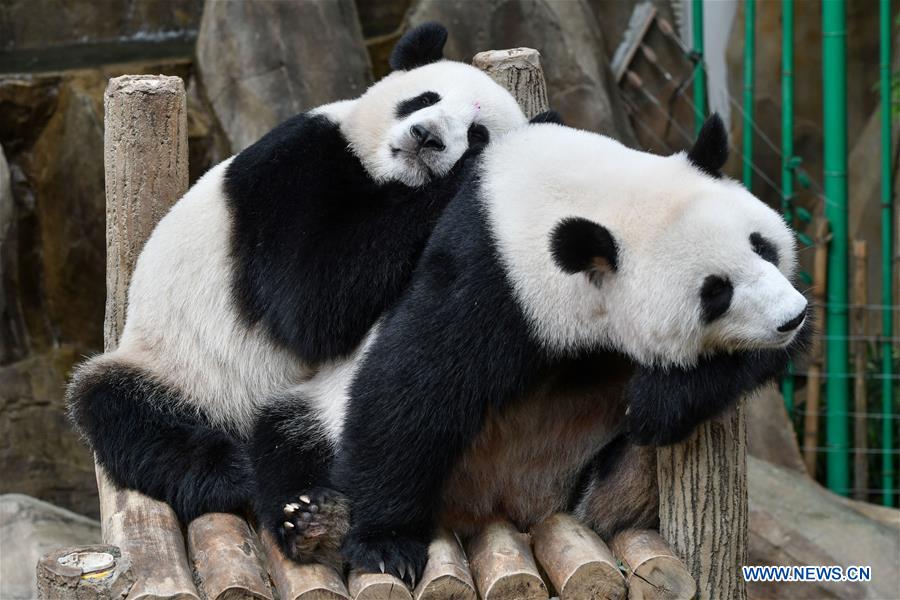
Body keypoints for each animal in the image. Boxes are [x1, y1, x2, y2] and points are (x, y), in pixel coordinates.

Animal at [66, 22, 529, 531]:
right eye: (424, 98)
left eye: (478, 132)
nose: (425, 136)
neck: (390, 179)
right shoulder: (293, 165)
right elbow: (309, 299)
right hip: (176, 365)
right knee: (123, 412)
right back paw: (233, 473)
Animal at [250, 114, 810, 584]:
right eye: (716, 292)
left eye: (762, 246)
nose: (790, 316)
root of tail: (498, 509)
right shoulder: (494, 274)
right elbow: (411, 388)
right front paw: (385, 543)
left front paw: (660, 400)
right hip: (320, 409)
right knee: (285, 439)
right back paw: (316, 523)